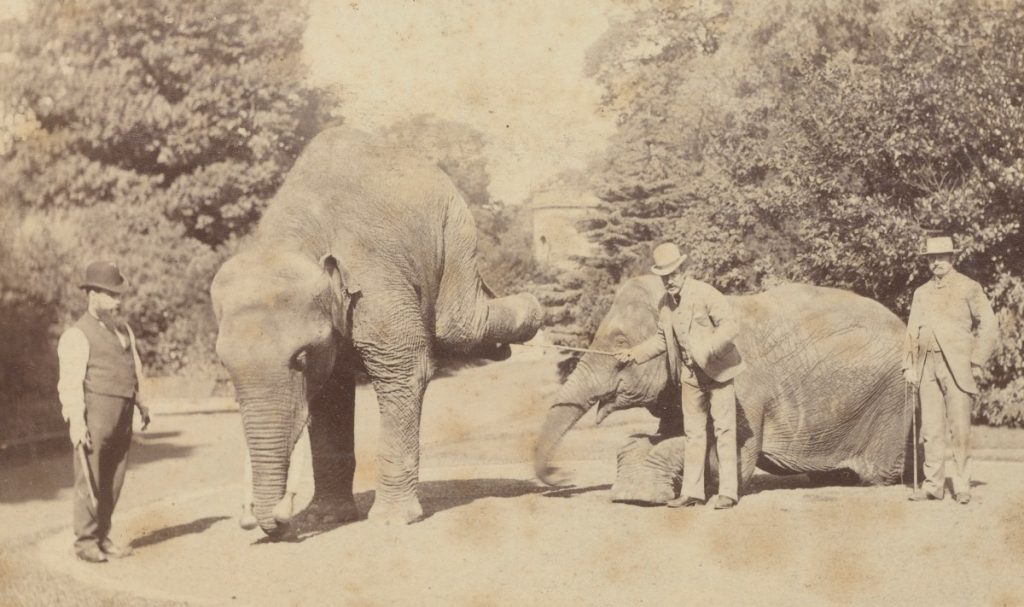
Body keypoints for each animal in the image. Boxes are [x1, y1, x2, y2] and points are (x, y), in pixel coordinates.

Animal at [209, 126, 544, 532]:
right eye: (225, 366)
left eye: (301, 358)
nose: (273, 519)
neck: (296, 236)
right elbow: (330, 394)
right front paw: (325, 517)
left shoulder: (375, 283)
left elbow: (405, 368)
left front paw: (392, 520)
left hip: (456, 225)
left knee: (459, 325)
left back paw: (531, 310)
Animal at [532, 276, 909, 501]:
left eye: (620, 343)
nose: (563, 477)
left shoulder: (745, 389)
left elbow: (729, 455)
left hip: (892, 400)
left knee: (876, 473)